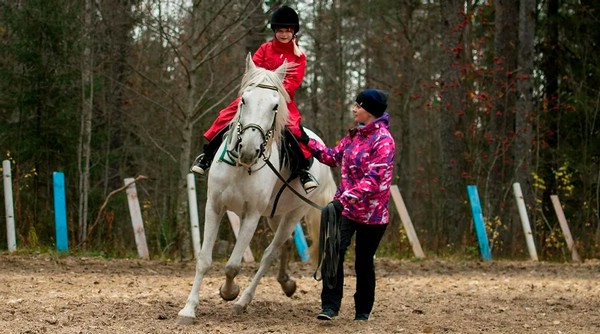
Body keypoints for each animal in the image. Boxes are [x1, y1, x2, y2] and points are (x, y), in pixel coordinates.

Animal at [178, 54, 338, 324]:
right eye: (244, 99)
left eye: (275, 106)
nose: (249, 149)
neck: (241, 166)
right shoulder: (214, 207)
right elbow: (204, 260)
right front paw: (188, 309)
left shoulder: (251, 216)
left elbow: (233, 265)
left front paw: (229, 292)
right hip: (274, 214)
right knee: (284, 245)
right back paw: (286, 283)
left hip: (293, 213)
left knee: (270, 253)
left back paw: (243, 301)